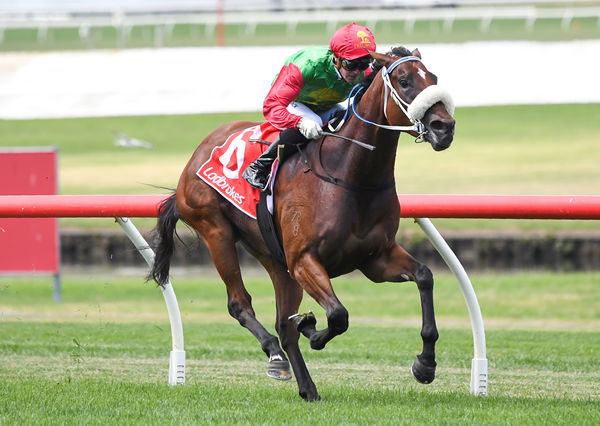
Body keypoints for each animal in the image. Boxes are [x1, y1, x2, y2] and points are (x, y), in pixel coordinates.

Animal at [149, 48, 454, 402]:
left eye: (434, 78)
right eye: (404, 81)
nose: (444, 127)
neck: (350, 176)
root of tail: (195, 157)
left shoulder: (375, 259)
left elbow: (425, 276)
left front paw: (425, 364)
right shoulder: (305, 260)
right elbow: (338, 316)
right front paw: (311, 328)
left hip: (276, 261)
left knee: (283, 325)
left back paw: (307, 387)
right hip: (216, 232)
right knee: (241, 305)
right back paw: (276, 354)